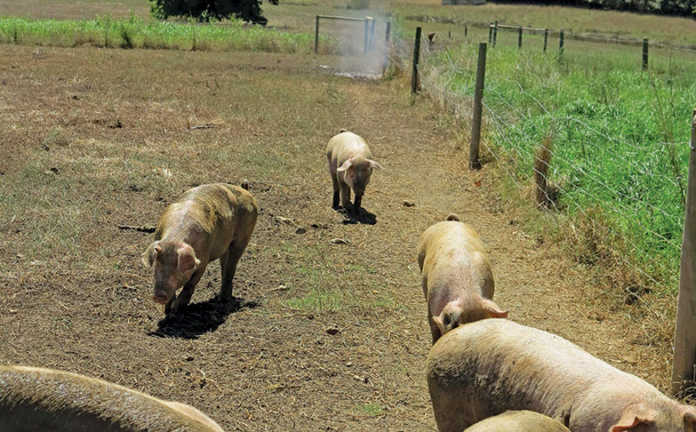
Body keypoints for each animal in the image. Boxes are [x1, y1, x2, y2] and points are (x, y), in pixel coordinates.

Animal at [142, 183, 258, 315]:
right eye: (157, 266)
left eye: (177, 269)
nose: (158, 296)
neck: (174, 239)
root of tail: (245, 190)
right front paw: (167, 311)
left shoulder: (203, 260)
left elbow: (190, 284)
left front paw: (176, 309)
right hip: (225, 247)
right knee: (225, 265)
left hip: (243, 238)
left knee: (231, 267)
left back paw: (223, 300)